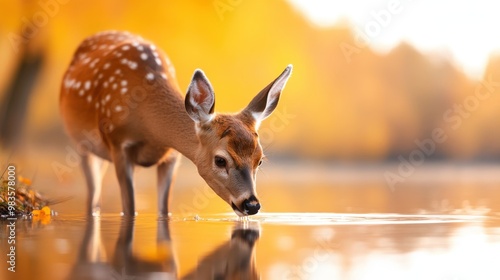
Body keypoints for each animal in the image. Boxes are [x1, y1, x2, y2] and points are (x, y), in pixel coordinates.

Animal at [60, 30, 292, 217]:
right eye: (220, 160)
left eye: (259, 160)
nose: (251, 205)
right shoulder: (119, 145)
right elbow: (129, 209)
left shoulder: (172, 155)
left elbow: (164, 209)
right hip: (82, 144)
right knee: (92, 194)